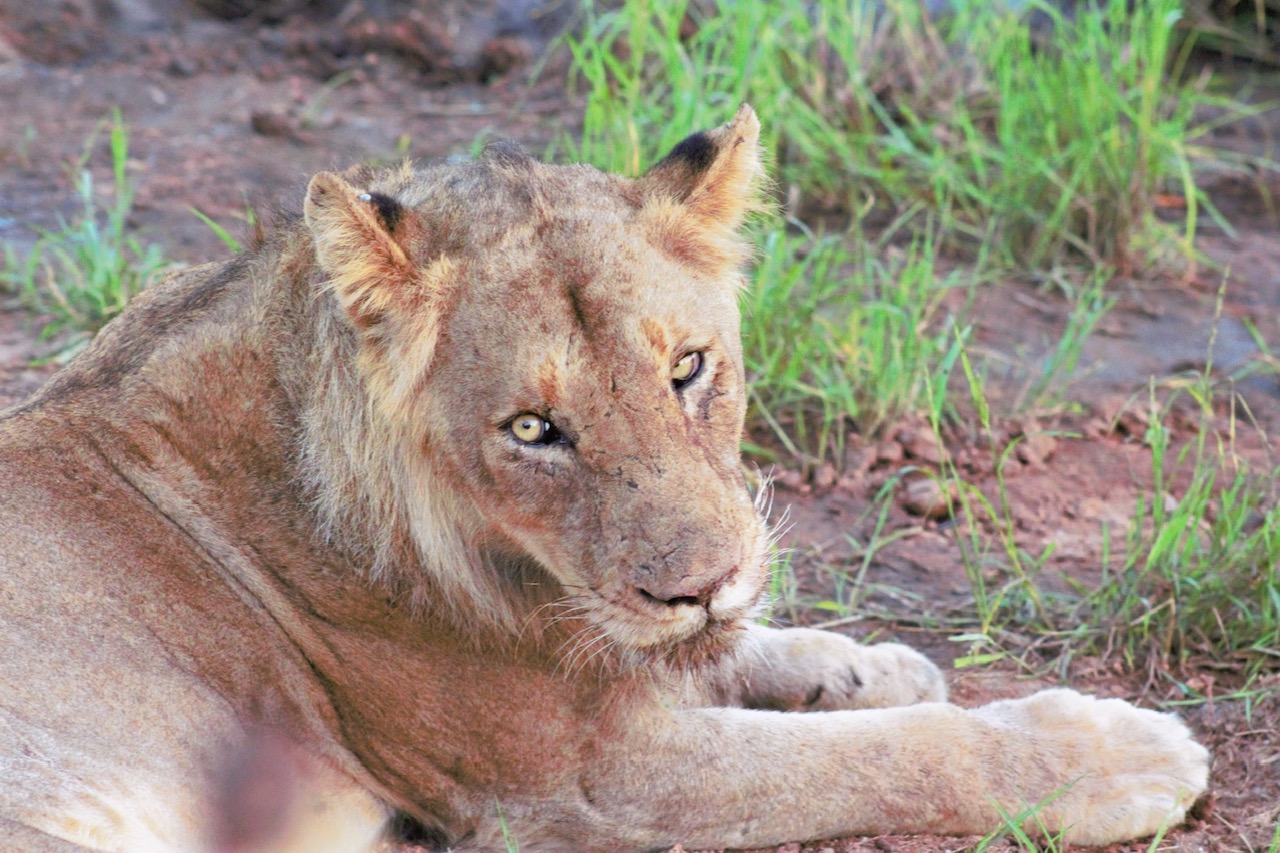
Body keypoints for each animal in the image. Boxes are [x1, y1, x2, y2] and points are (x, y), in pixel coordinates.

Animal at [0, 105, 1208, 852]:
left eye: (688, 368)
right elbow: (882, 757)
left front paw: (865, 665)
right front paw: (1105, 755)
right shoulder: (588, 781)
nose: (698, 585)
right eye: (534, 429)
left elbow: (753, 656)